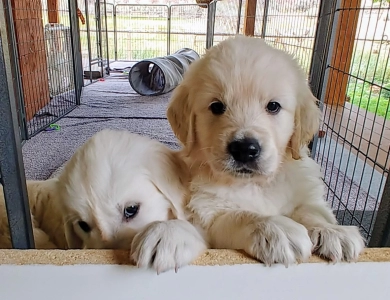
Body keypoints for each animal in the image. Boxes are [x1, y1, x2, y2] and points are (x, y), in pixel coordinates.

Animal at [165, 35, 366, 268]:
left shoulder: (308, 194)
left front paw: (332, 231)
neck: (257, 184)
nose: (244, 149)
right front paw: (276, 228)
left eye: (273, 106)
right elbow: (241, 215)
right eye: (216, 107)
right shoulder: (210, 214)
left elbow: (312, 211)